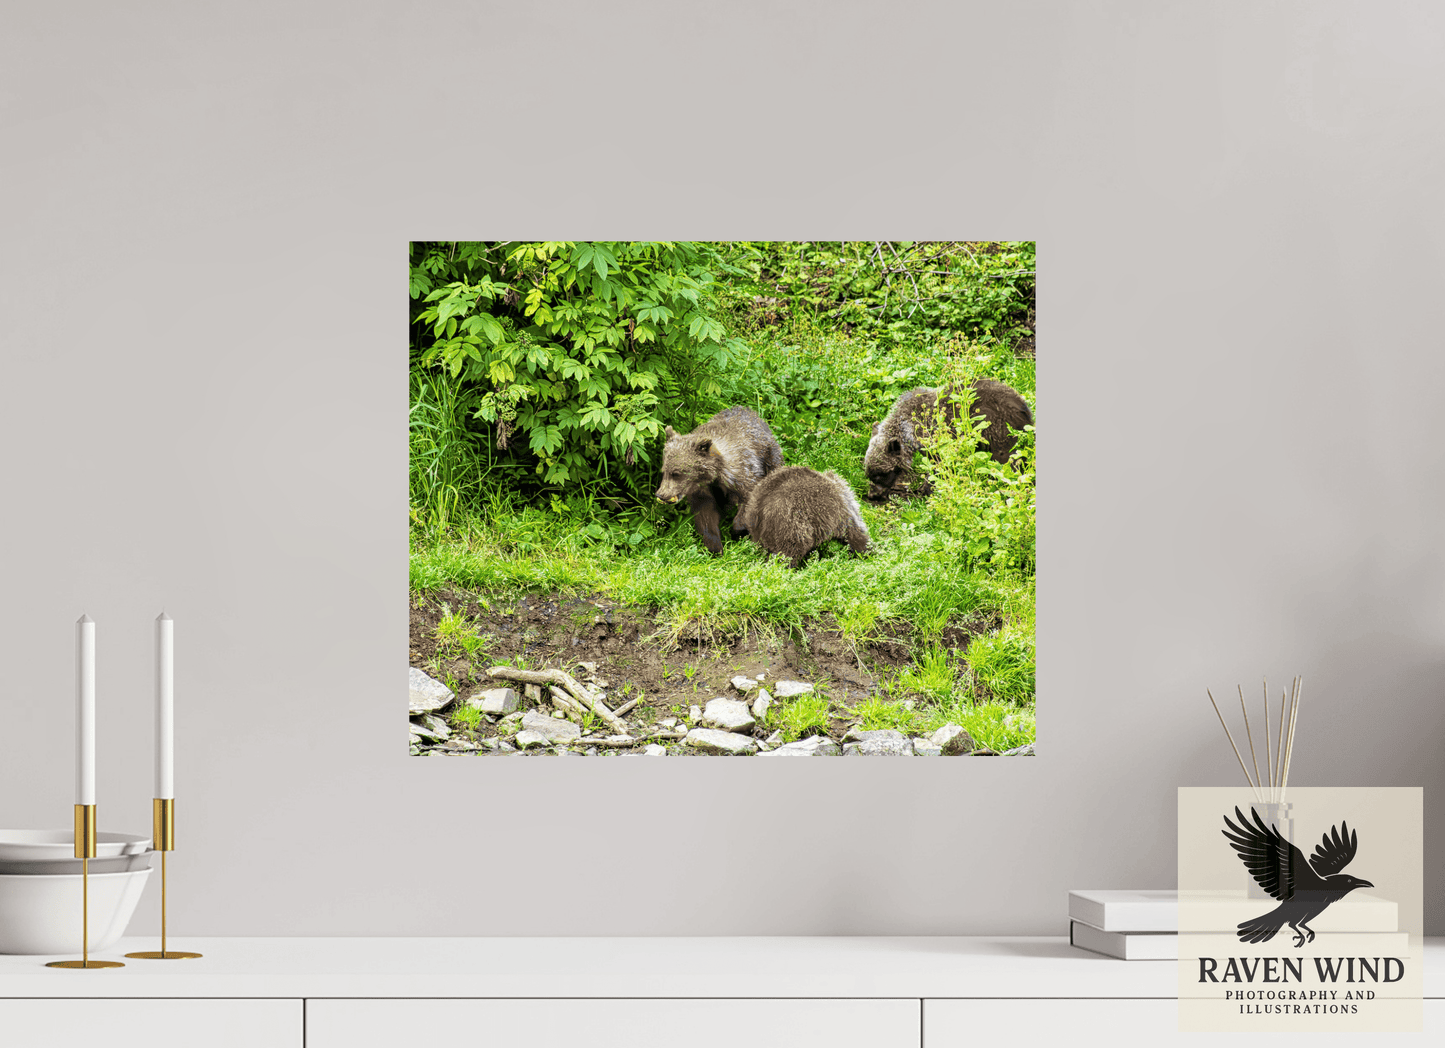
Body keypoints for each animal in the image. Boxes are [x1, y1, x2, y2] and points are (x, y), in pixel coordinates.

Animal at [654, 406, 784, 554]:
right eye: (664, 471)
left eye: (676, 473)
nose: (661, 494)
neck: (714, 474)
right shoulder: (703, 491)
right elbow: (706, 516)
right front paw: (715, 547)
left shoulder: (745, 476)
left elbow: (749, 502)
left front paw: (738, 532)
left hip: (770, 457)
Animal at [863, 378, 1032, 502]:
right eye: (869, 473)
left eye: (880, 474)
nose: (872, 495)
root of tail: (1023, 407)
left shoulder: (935, 438)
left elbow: (938, 466)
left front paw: (926, 490)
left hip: (998, 430)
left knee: (1008, 459)